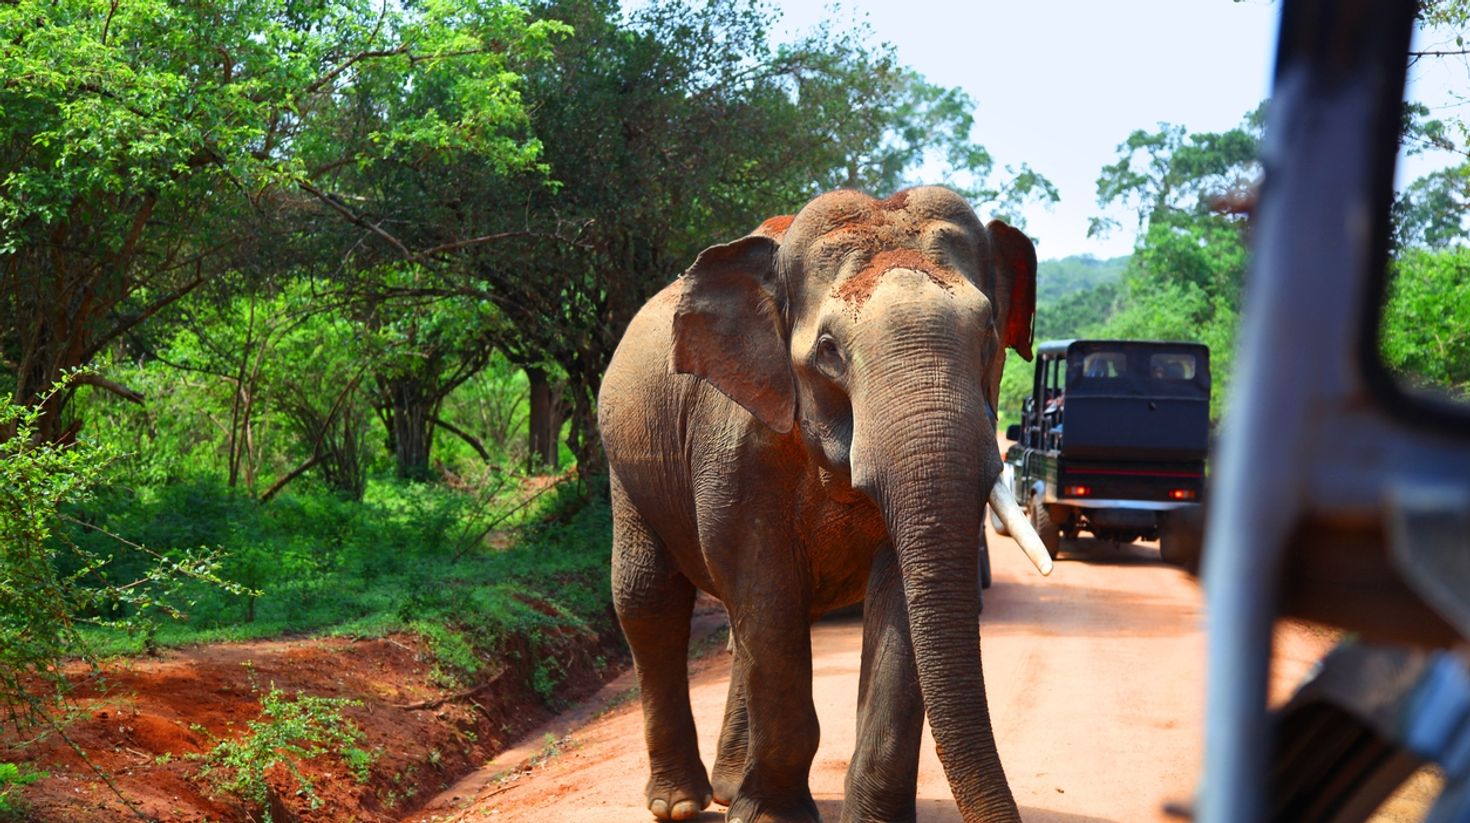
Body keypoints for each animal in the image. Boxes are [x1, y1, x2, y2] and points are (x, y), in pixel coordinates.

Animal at [597, 186, 1054, 823]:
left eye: (989, 331)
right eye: (831, 350)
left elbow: (896, 604)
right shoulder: (733, 443)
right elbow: (765, 592)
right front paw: (770, 818)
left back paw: (728, 787)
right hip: (627, 462)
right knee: (648, 598)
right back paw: (681, 803)